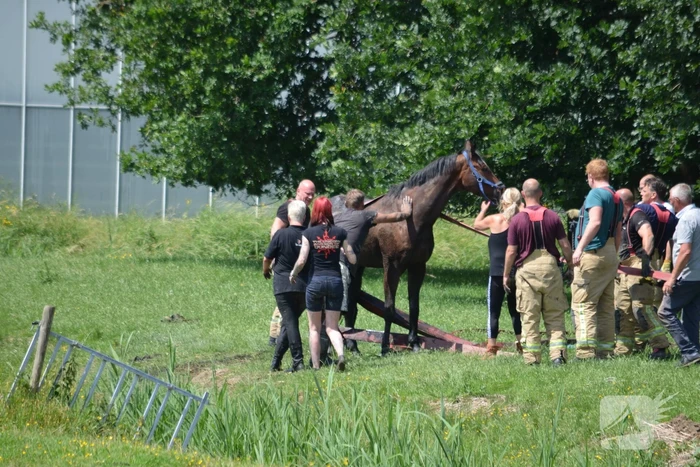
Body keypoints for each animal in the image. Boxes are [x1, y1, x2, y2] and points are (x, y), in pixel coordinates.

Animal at [335, 141, 504, 354]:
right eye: (482, 167)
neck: (412, 219)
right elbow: (389, 307)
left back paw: (353, 345)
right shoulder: (392, 267)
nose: (501, 190)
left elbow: (414, 306)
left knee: (351, 304)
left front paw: (414, 342)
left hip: (358, 266)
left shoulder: (418, 266)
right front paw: (385, 346)